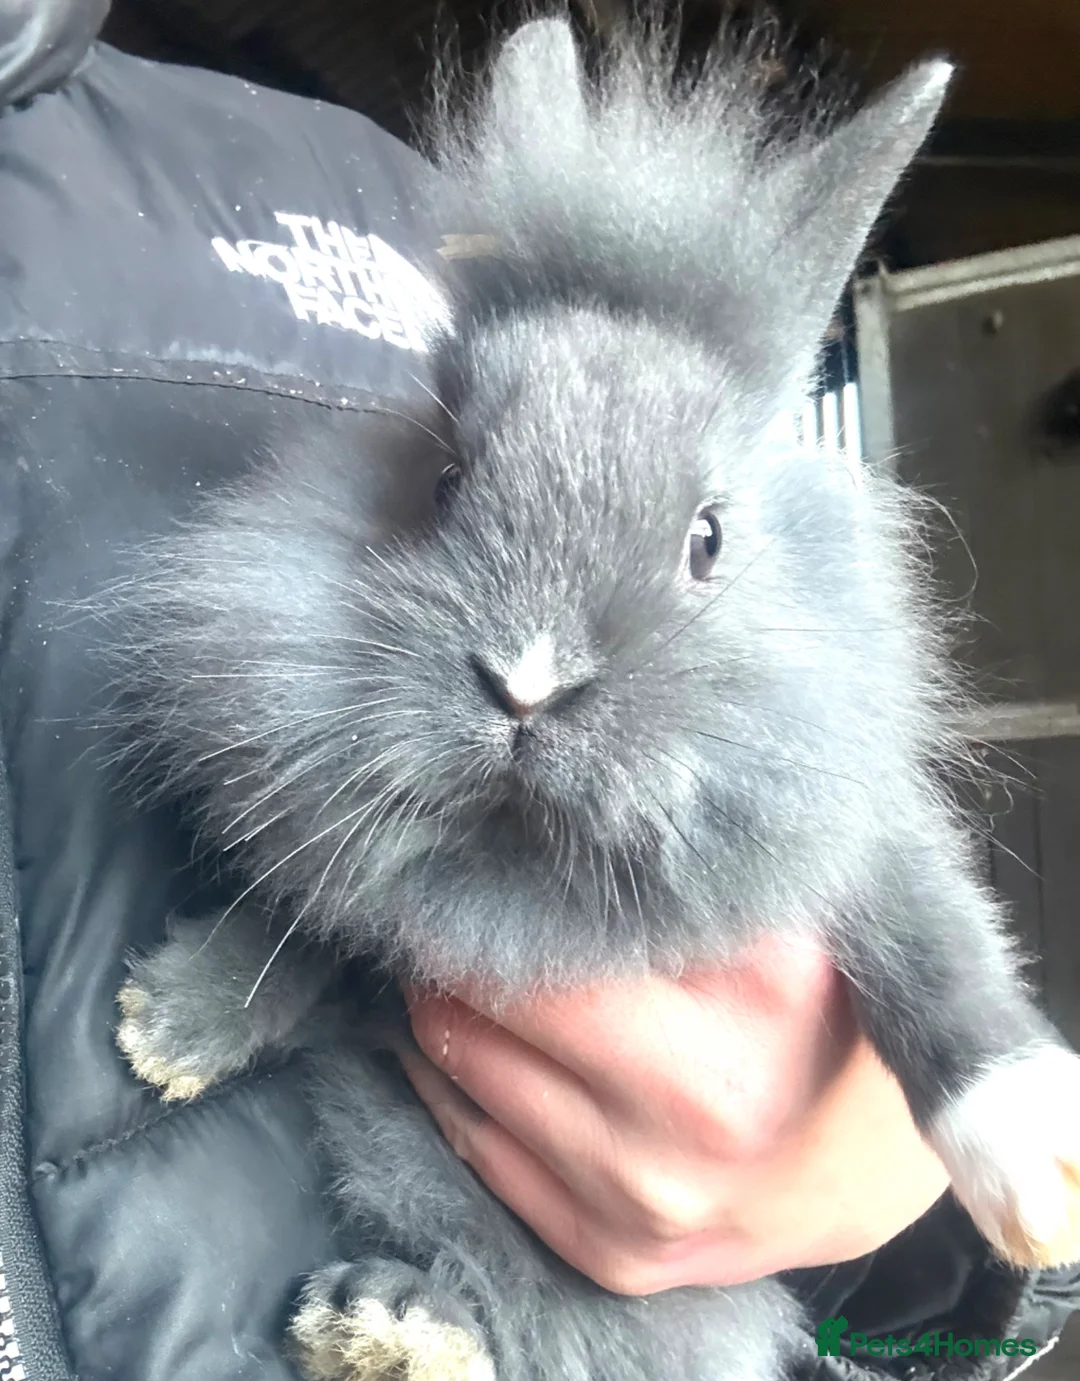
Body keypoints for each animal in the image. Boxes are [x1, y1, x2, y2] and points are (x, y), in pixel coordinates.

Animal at [105, 12, 1080, 1381]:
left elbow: (933, 946)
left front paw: (1039, 1173)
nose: (527, 682)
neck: (531, 866)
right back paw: (388, 1327)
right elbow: (308, 924)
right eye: (444, 482)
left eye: (709, 539)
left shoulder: (865, 834)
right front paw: (172, 1027)